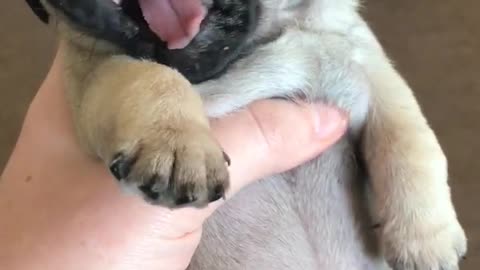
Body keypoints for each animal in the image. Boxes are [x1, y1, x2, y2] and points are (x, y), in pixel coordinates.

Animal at [25, 0, 464, 268]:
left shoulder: (367, 68)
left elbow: (409, 140)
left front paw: (428, 237)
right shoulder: (95, 76)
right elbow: (153, 79)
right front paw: (179, 143)